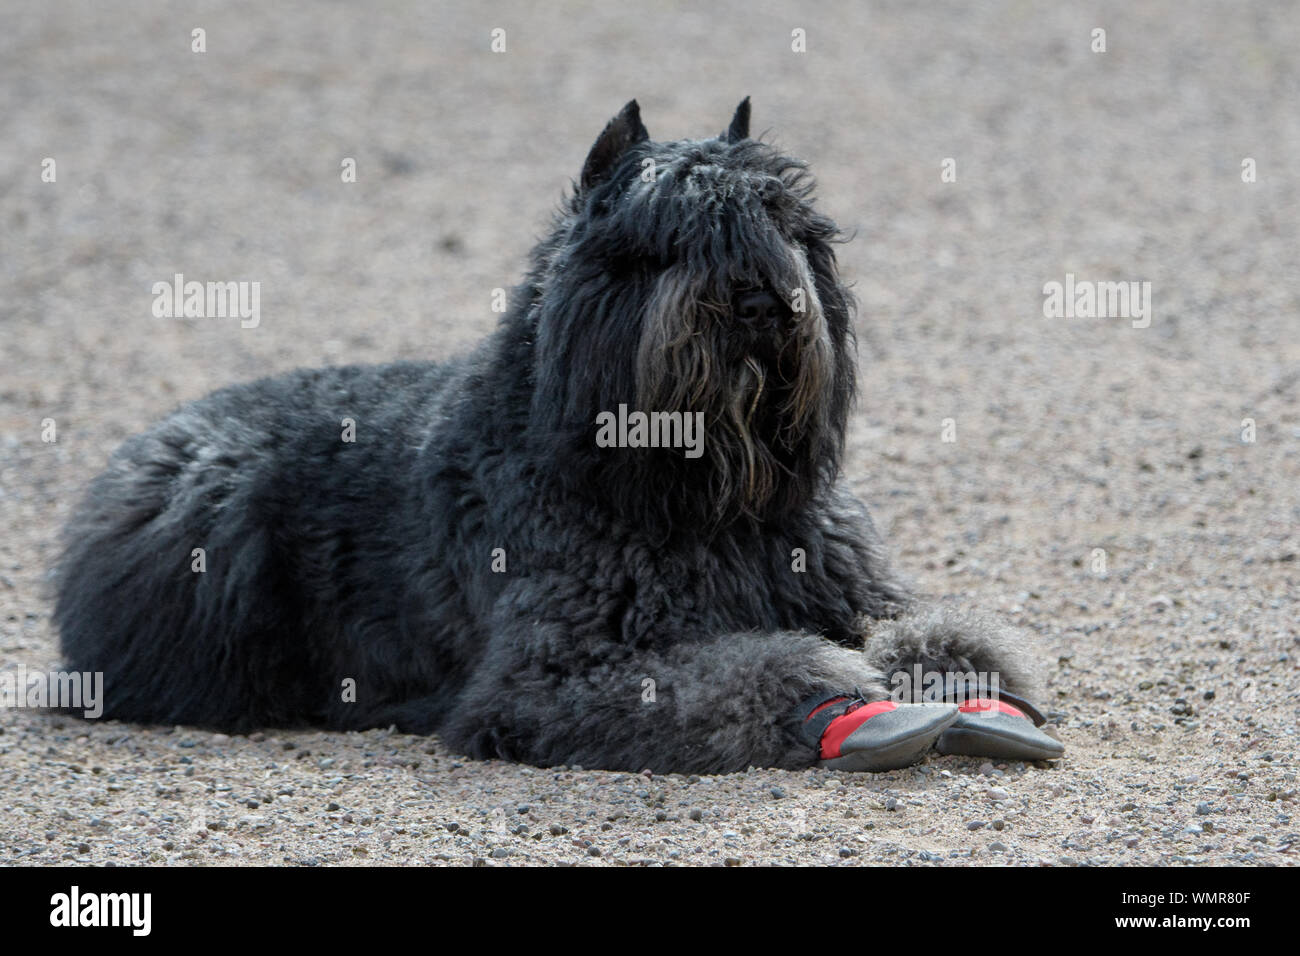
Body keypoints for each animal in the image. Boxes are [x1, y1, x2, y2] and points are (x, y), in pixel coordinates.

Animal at [55, 102, 1060, 780]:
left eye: (793, 226)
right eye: (667, 239)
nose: (761, 300)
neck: (704, 505)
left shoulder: (845, 580)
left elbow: (929, 627)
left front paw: (964, 681)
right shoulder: (555, 676)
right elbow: (749, 671)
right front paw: (842, 698)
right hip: (209, 518)